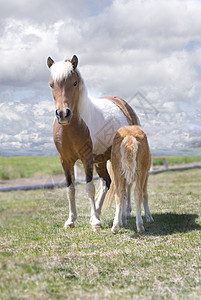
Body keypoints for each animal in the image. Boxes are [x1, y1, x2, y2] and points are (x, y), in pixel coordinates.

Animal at [47, 55, 140, 230]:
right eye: (51, 84)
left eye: (74, 82)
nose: (63, 114)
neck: (74, 126)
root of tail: (123, 103)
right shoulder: (65, 160)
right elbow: (70, 189)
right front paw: (71, 220)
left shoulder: (87, 158)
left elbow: (89, 187)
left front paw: (96, 223)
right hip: (101, 160)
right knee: (107, 183)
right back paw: (97, 210)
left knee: (127, 183)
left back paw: (126, 213)